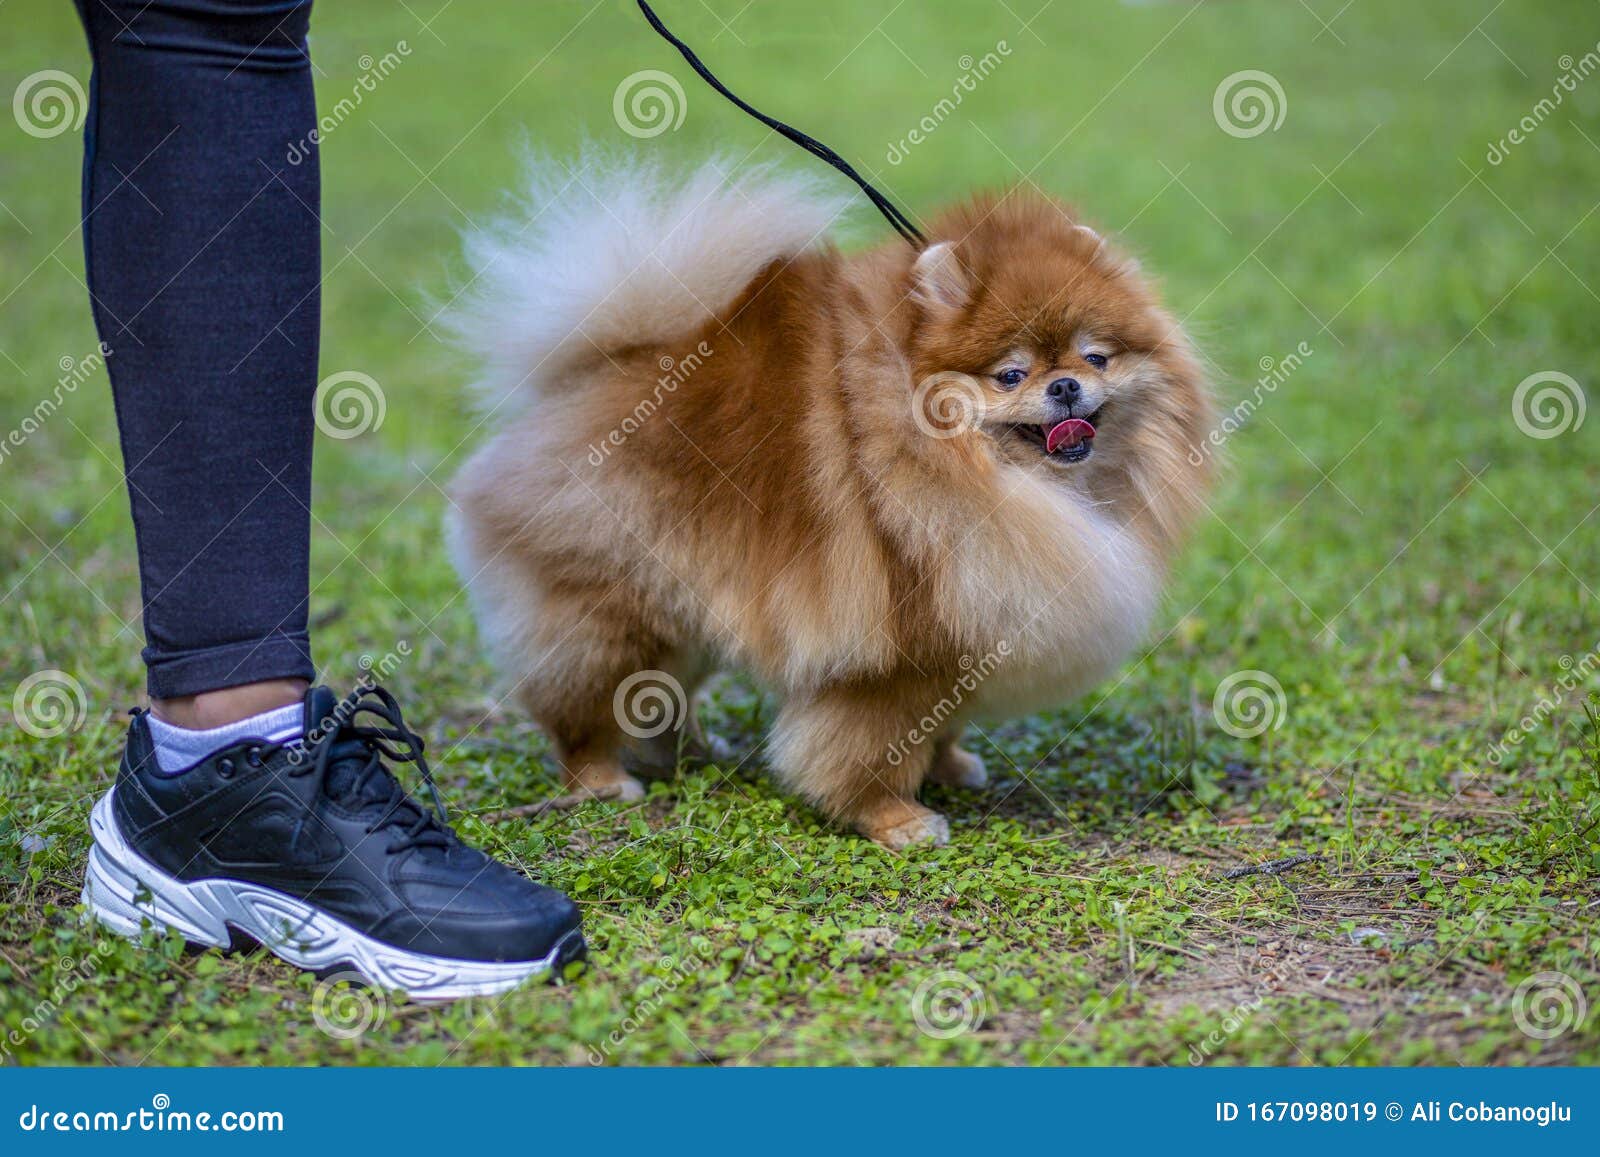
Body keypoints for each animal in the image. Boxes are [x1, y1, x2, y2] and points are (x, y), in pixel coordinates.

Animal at [444, 156, 1216, 851]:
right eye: (1010, 375)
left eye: (1096, 358)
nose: (1064, 386)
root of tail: (597, 371)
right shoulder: (899, 650)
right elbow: (875, 745)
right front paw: (897, 819)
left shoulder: (972, 620)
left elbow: (943, 723)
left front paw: (951, 765)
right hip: (611, 605)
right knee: (585, 698)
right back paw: (603, 778)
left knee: (660, 692)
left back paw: (691, 753)